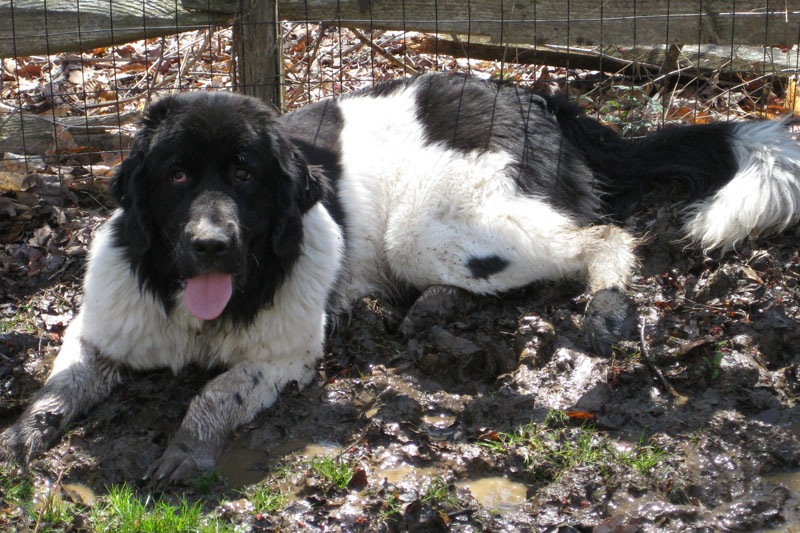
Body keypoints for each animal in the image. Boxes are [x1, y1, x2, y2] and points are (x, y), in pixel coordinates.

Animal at [1, 71, 800, 482]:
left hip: (432, 227)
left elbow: (217, 390)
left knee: (602, 233)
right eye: (176, 176)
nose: (211, 244)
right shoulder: (98, 329)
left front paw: (189, 446)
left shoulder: (285, 355)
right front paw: (17, 440)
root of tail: (533, 97)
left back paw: (606, 306)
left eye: (245, 175)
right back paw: (423, 310)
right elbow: (57, 388)